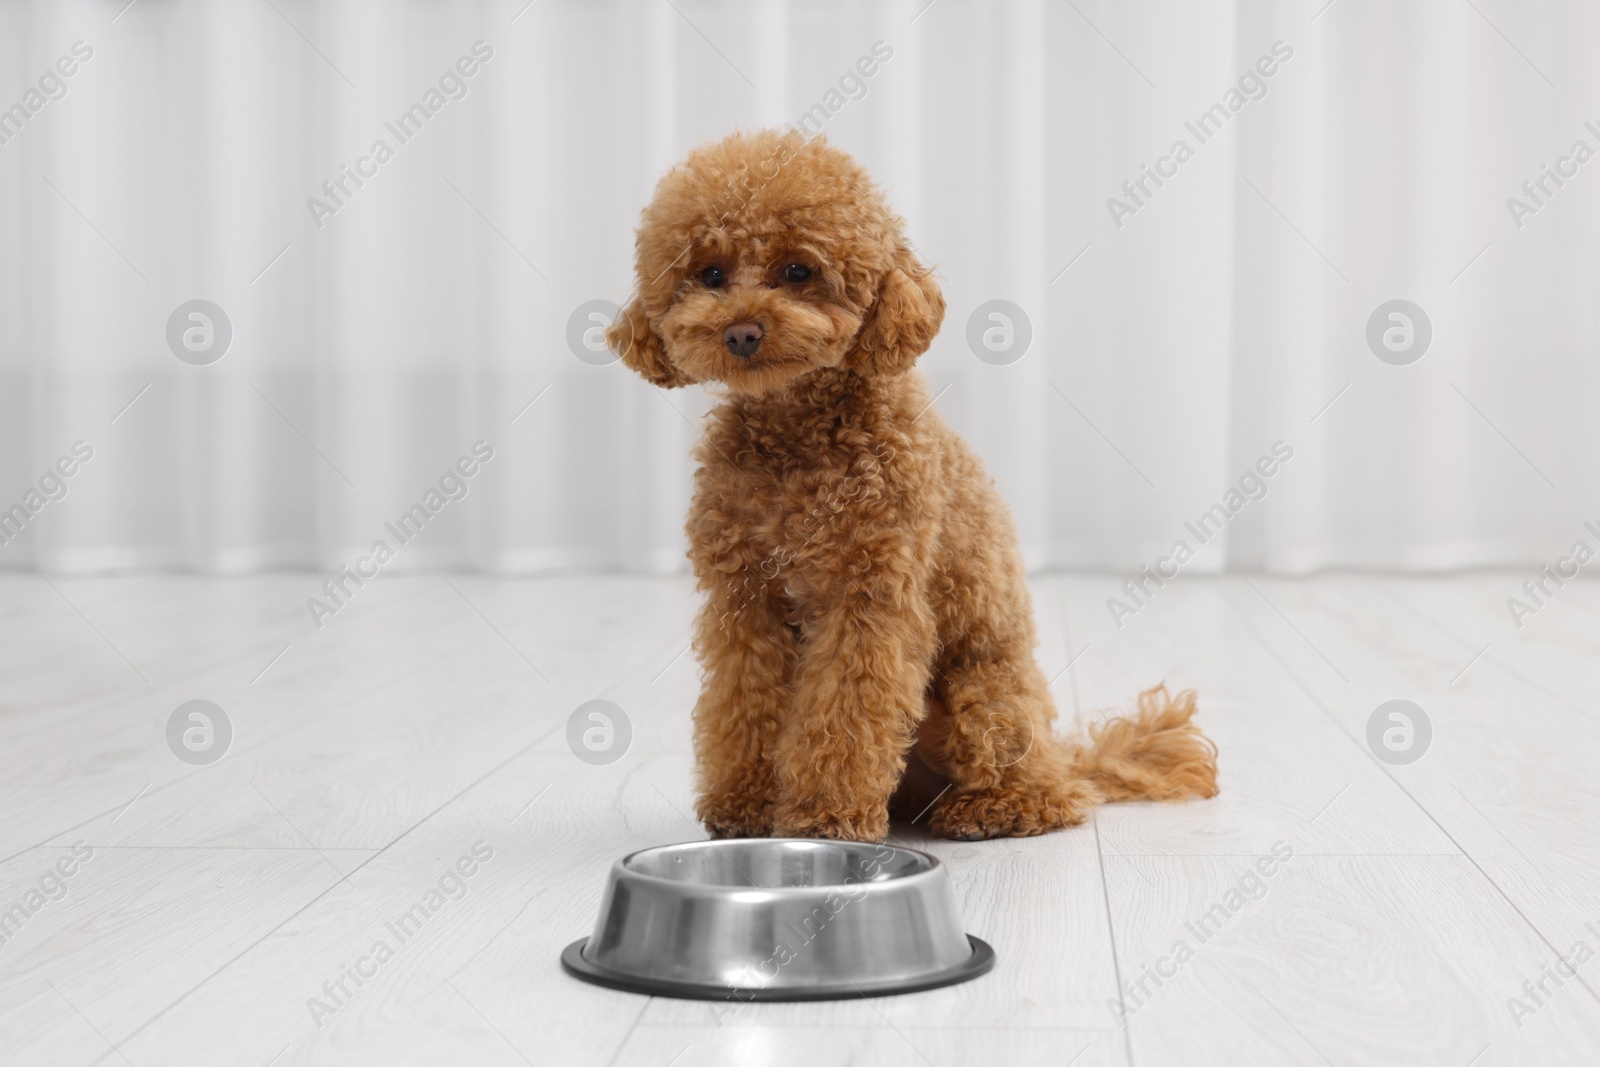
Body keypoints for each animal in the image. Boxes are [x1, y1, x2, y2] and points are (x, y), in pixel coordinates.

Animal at [604, 129, 1216, 838]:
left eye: (798, 271)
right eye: (709, 275)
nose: (742, 332)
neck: (797, 438)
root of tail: (1069, 757)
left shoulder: (870, 598)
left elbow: (846, 715)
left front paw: (825, 818)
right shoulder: (743, 599)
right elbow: (742, 704)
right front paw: (746, 808)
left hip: (983, 695)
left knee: (1049, 794)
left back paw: (989, 808)